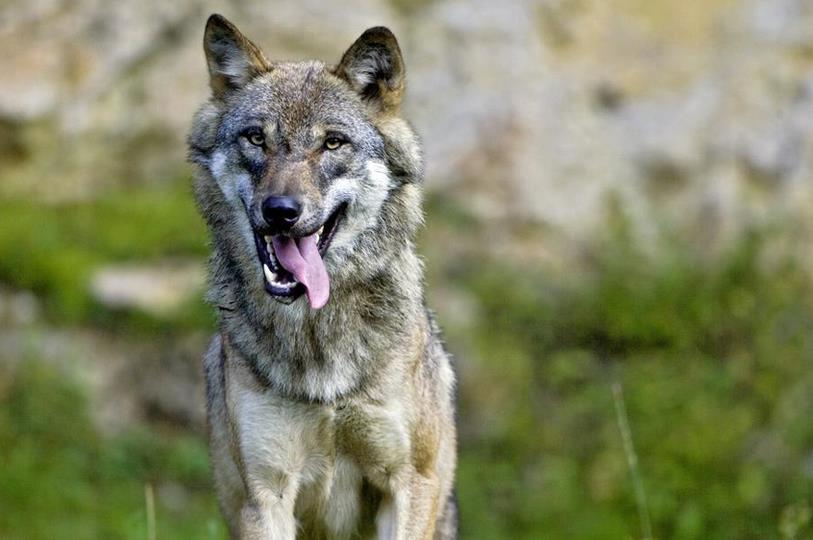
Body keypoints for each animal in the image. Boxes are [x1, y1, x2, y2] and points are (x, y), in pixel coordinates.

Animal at [187, 14, 457, 540]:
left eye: (332, 142)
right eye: (256, 138)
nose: (280, 211)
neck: (318, 337)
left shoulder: (410, 482)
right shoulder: (264, 494)